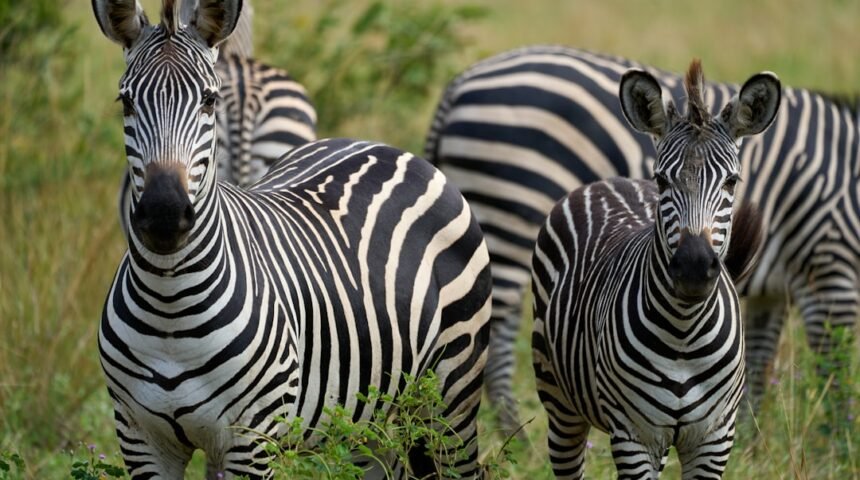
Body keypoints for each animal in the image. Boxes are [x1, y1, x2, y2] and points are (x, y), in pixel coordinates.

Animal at [425, 45, 860, 429]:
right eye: (660, 180)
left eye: (734, 182)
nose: (694, 267)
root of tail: (459, 82)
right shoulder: (831, 273)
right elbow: (839, 376)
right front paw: (839, 445)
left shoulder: (776, 291)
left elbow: (755, 371)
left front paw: (753, 446)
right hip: (513, 211)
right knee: (489, 340)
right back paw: (513, 439)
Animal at [531, 60, 780, 479]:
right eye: (662, 179)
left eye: (732, 181)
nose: (694, 268)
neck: (684, 334)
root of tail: (608, 181)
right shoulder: (634, 435)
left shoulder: (714, 438)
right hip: (559, 402)